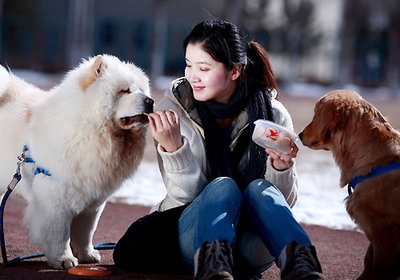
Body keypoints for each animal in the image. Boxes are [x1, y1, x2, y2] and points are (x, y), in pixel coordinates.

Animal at [0, 54, 153, 270]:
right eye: (124, 91)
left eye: (142, 90)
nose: (150, 101)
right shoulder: (55, 199)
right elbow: (59, 234)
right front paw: (63, 259)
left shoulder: (92, 203)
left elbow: (85, 233)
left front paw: (87, 255)